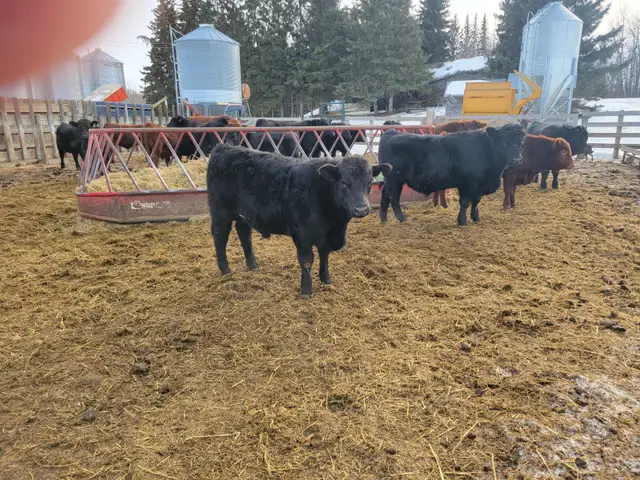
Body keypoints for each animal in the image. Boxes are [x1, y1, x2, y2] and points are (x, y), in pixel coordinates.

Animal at [207, 144, 392, 298]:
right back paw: (225, 270)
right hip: (220, 212)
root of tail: (224, 148)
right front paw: (306, 291)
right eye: (344, 183)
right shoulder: (302, 234)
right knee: (219, 235)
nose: (361, 209)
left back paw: (253, 265)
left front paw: (326, 280)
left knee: (244, 233)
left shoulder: (326, 236)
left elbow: (325, 255)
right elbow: (306, 260)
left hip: (244, 214)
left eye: (369, 183)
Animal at [378, 123, 526, 226]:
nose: (517, 160)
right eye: (504, 142)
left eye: (521, 142)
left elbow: (476, 202)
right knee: (393, 198)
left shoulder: (478, 186)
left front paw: (476, 218)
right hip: (394, 179)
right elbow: (465, 203)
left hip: (391, 180)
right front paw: (462, 221)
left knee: (385, 195)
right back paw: (402, 219)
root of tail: (391, 132)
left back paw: (384, 219)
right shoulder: (467, 184)